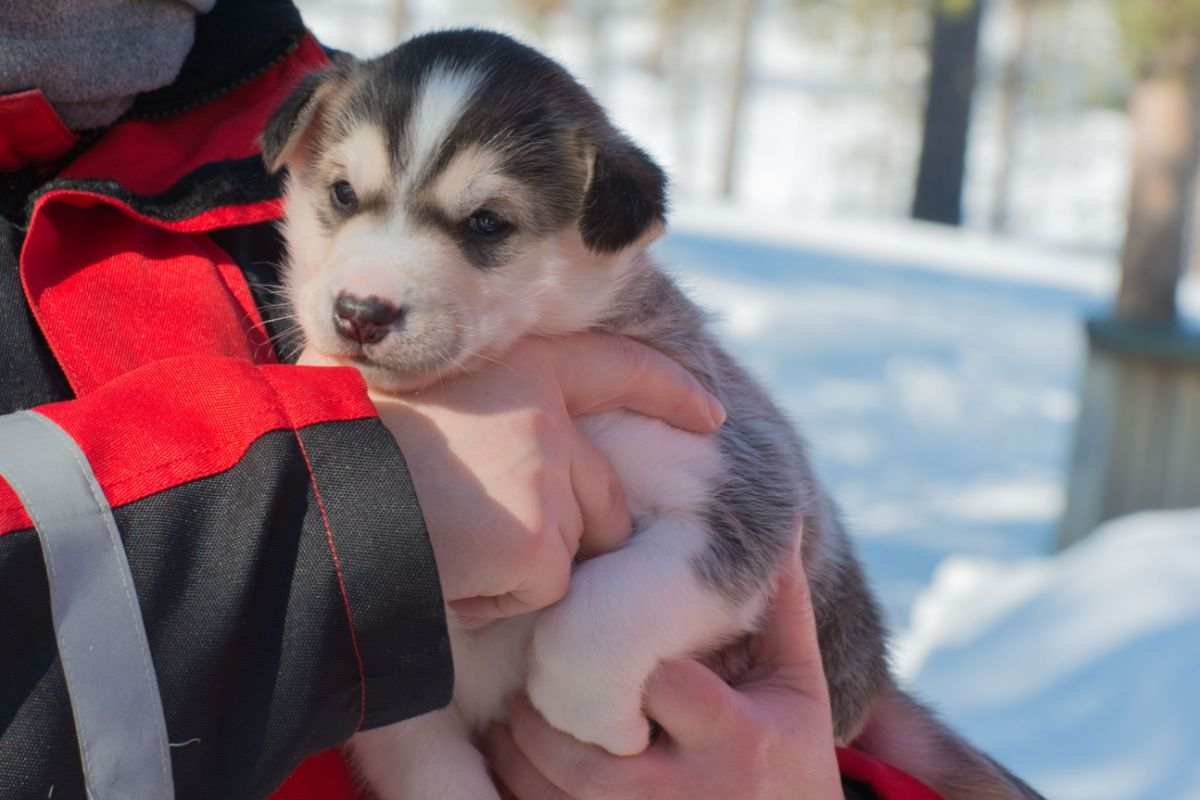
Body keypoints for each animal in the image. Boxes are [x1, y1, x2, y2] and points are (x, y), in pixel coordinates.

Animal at [265, 28, 1041, 796]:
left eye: (487, 223)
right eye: (342, 193)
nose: (361, 311)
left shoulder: (734, 500)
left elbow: (603, 607)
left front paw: (592, 721)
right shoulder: (407, 709)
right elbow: (434, 768)